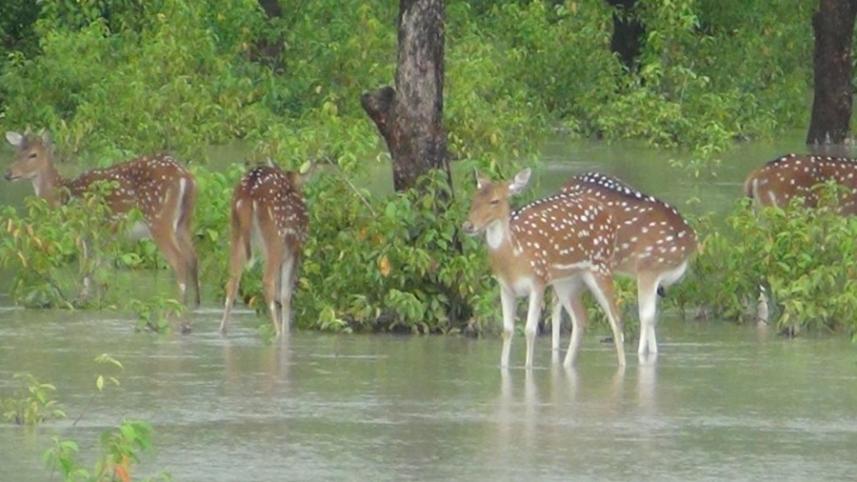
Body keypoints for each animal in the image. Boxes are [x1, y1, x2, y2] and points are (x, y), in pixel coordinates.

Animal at [4, 131, 200, 306]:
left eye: (33, 154)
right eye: (16, 152)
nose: (8, 174)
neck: (65, 196)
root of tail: (186, 177)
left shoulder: (84, 230)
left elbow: (86, 270)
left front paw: (81, 301)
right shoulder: (103, 235)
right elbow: (99, 272)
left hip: (158, 219)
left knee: (179, 261)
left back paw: (176, 305)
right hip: (184, 223)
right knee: (193, 258)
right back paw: (196, 304)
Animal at [220, 165, 308, 337]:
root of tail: (248, 193)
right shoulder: (295, 249)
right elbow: (286, 294)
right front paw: (287, 332)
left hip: (236, 232)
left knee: (232, 282)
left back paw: (222, 330)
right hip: (275, 236)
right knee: (267, 282)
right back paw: (278, 332)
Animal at [462, 168, 626, 369]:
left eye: (495, 200)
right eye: (474, 198)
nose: (468, 225)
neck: (515, 258)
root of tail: (610, 216)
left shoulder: (538, 280)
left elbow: (530, 330)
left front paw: (528, 367)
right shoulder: (505, 287)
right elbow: (507, 330)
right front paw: (504, 366)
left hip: (601, 265)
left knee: (615, 317)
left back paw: (622, 365)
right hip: (565, 281)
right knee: (580, 318)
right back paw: (566, 364)